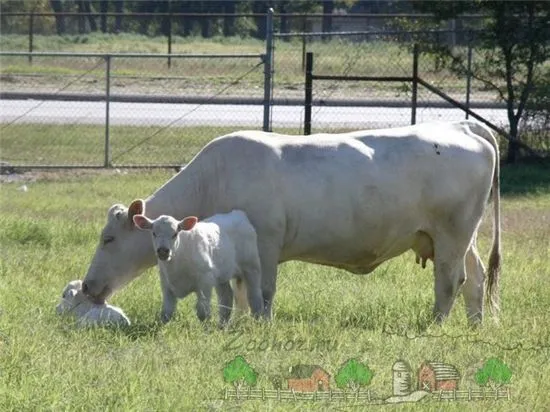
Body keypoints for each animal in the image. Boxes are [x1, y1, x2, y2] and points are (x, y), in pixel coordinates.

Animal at [133, 209, 264, 326]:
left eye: (175, 234)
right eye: (154, 233)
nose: (163, 251)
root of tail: (237, 214)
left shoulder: (205, 281)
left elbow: (203, 312)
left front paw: (207, 330)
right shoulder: (166, 284)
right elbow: (166, 312)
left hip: (252, 267)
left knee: (255, 297)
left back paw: (257, 321)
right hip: (222, 276)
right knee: (226, 297)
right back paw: (223, 325)